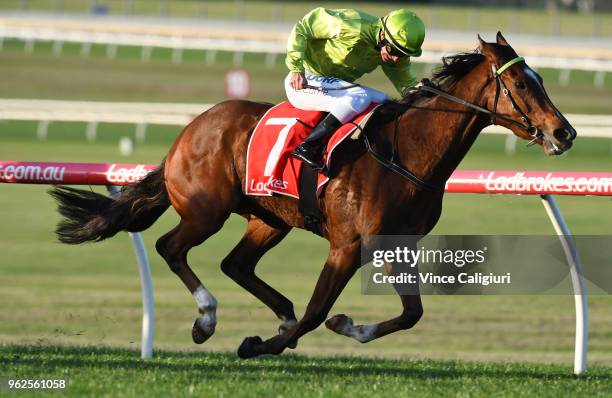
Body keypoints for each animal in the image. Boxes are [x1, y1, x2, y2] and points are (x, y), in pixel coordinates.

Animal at [51, 32, 572, 360]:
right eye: (521, 82)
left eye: (542, 80)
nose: (563, 133)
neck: (406, 152)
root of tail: (189, 130)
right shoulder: (346, 246)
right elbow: (316, 313)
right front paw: (259, 345)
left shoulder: (396, 245)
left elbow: (411, 313)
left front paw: (346, 326)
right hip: (206, 210)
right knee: (170, 247)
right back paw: (207, 318)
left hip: (269, 219)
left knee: (235, 264)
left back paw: (275, 313)